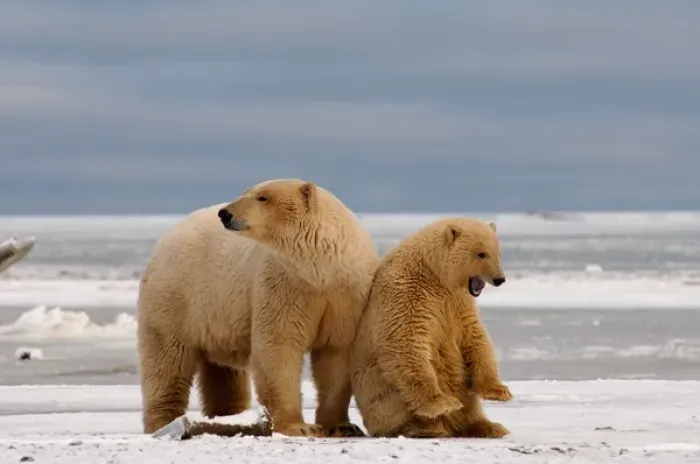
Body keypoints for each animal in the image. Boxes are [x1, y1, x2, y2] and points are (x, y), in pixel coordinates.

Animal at [137, 178, 380, 438]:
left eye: (263, 197)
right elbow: (279, 347)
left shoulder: (345, 295)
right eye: (245, 192)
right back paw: (165, 423)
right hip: (175, 299)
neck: (320, 268)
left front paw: (342, 426)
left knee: (223, 375)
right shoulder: (283, 284)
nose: (225, 213)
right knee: (167, 361)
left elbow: (337, 354)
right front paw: (298, 426)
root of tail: (168, 236)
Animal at [349, 216, 511, 438]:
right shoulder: (410, 291)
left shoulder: (459, 302)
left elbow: (475, 336)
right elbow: (405, 340)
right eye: (481, 253)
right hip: (379, 394)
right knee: (398, 404)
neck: (435, 273)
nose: (499, 279)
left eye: (498, 253)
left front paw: (499, 391)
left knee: (469, 407)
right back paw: (425, 428)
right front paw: (442, 403)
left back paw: (490, 426)